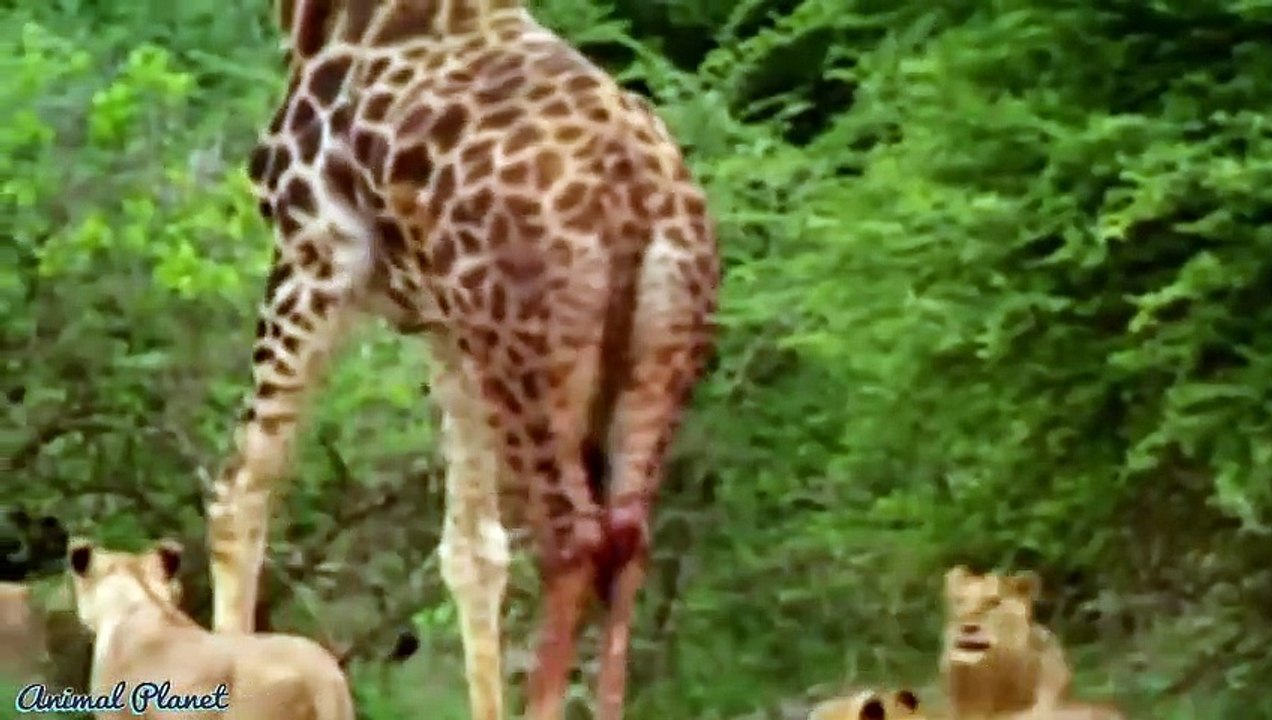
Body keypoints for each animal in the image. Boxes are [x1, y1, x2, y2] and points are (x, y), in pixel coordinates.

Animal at [203, 1, 719, 719]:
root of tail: (637, 198)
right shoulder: (446, 328)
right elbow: (474, 552)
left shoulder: (314, 252)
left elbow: (241, 494)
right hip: (651, 355)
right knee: (627, 538)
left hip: (526, 356)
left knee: (572, 542)